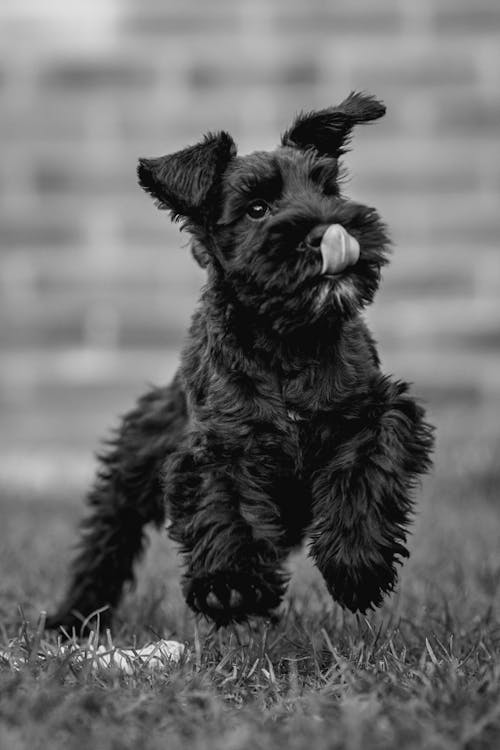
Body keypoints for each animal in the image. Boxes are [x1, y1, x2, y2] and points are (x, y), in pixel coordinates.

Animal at [48, 92, 436, 636]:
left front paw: (357, 565)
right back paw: (73, 617)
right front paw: (229, 584)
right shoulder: (222, 445)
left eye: (328, 188)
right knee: (106, 539)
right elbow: (227, 504)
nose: (331, 228)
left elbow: (363, 472)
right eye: (257, 209)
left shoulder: (375, 412)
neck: (289, 341)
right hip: (133, 464)